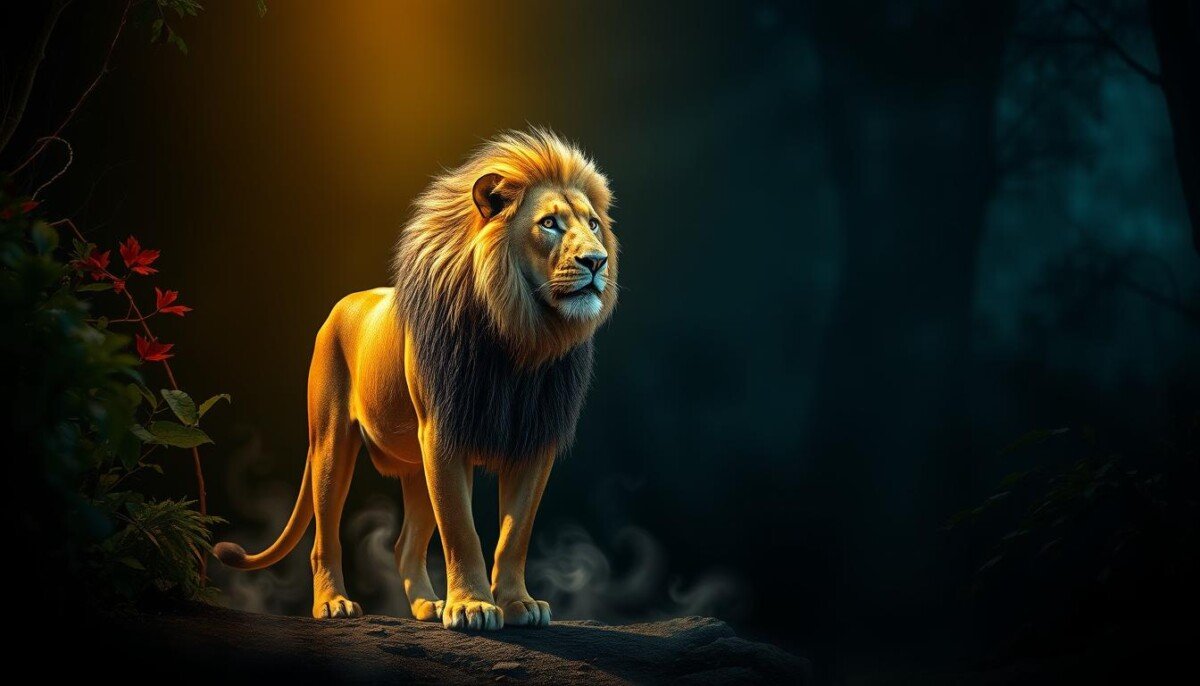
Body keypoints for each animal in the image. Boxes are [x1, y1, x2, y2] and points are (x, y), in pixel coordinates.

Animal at [213, 128, 618, 631]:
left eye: (594, 224)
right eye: (549, 224)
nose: (597, 261)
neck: (522, 335)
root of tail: (342, 304)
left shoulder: (533, 440)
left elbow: (515, 534)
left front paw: (517, 603)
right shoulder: (443, 432)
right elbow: (461, 530)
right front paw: (473, 607)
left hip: (414, 465)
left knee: (404, 545)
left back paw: (429, 606)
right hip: (331, 443)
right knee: (326, 535)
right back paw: (333, 603)